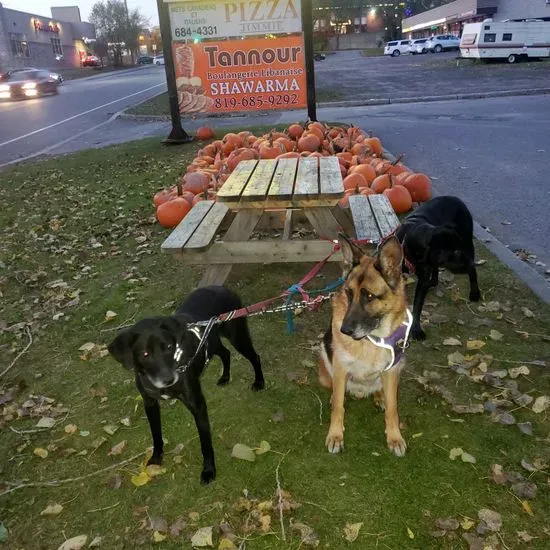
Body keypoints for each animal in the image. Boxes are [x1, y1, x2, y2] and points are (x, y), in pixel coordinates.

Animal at [108, 286, 266, 486]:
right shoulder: (150, 403)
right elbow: (156, 434)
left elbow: (205, 444)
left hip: (237, 335)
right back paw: (225, 377)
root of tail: (223, 287)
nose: (169, 379)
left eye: (169, 347)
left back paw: (259, 382)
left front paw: (208, 470)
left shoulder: (197, 405)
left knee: (254, 357)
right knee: (225, 353)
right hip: (212, 342)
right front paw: (156, 458)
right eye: (145, 354)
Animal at [320, 236, 410, 458]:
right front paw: (335, 436)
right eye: (348, 292)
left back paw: (379, 397)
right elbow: (338, 408)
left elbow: (393, 410)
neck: (371, 340)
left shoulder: (392, 371)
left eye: (369, 296)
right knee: (336, 392)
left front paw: (394, 437)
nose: (344, 330)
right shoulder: (341, 369)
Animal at [396, 194, 484, 340]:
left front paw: (416, 330)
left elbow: (417, 305)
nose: (470, 263)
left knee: (472, 272)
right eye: (454, 252)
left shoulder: (423, 278)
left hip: (467, 243)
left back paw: (474, 293)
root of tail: (456, 198)